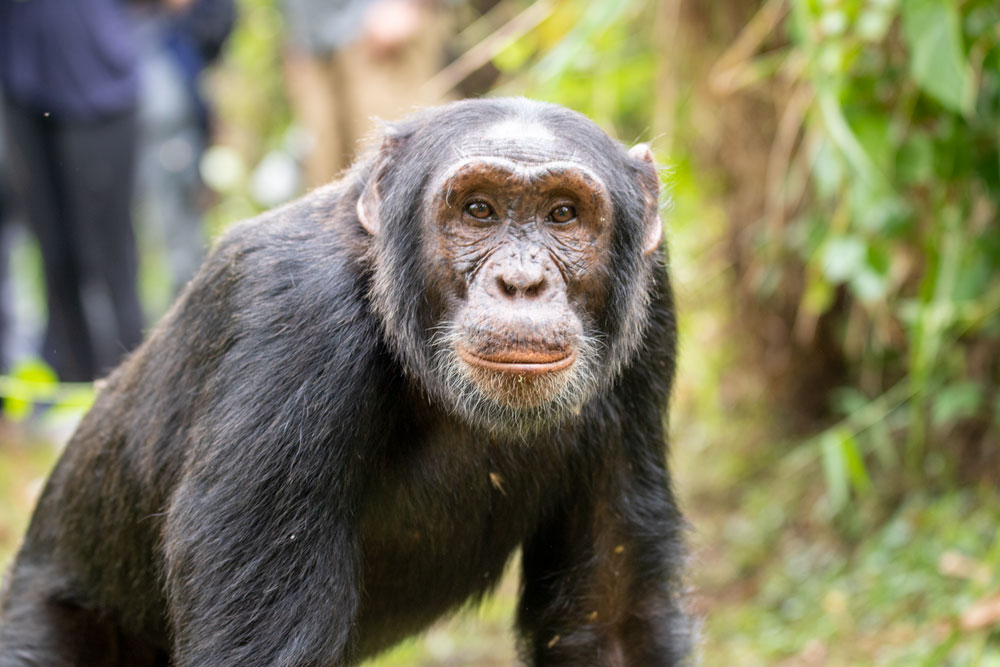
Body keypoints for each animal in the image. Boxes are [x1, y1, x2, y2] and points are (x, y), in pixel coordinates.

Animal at [0, 97, 691, 666]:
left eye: (564, 214)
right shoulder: (298, 321)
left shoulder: (651, 305)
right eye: (479, 210)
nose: (521, 281)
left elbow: (614, 617)